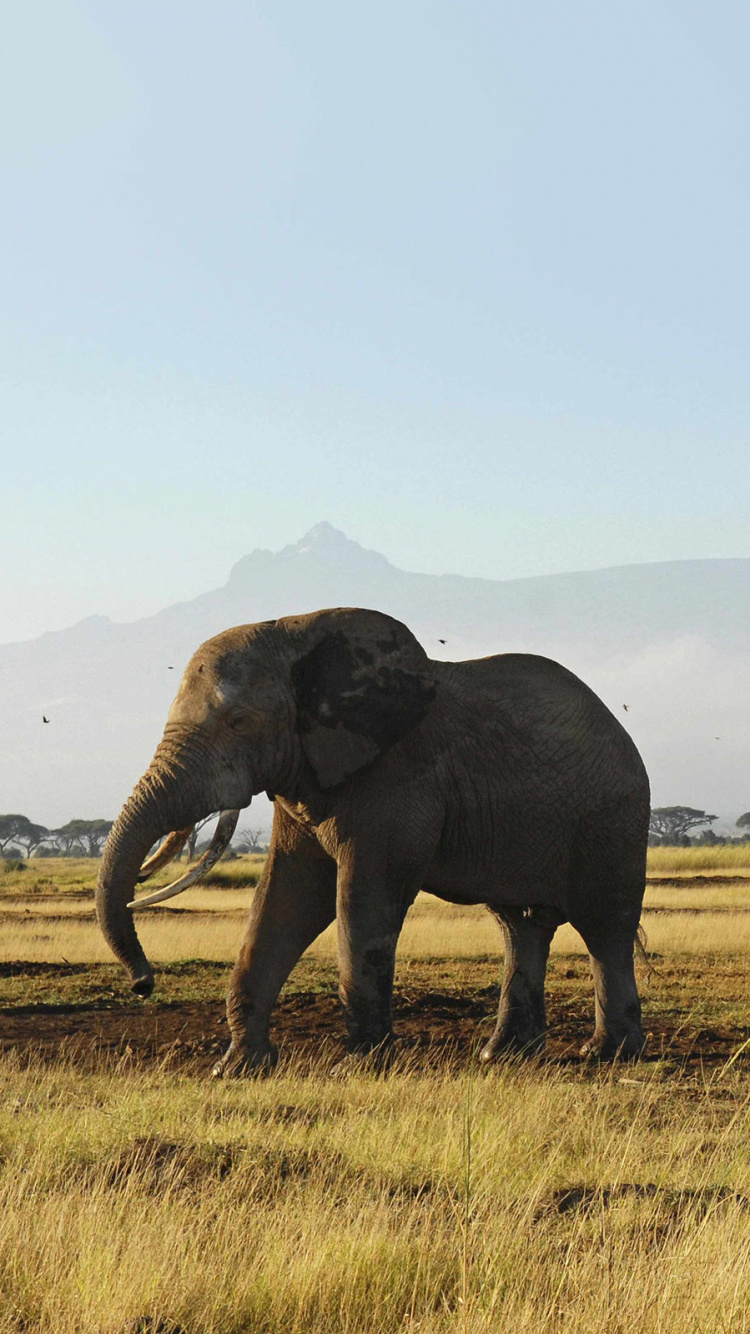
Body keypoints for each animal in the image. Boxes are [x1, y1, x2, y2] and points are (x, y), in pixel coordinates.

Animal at [96, 607, 650, 1074]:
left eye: (239, 722)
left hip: (612, 818)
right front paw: (237, 1069)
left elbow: (362, 900)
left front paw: (360, 1066)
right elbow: (287, 900)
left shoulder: (396, 777)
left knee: (605, 927)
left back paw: (608, 1054)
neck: (296, 633)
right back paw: (503, 1056)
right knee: (521, 925)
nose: (144, 984)